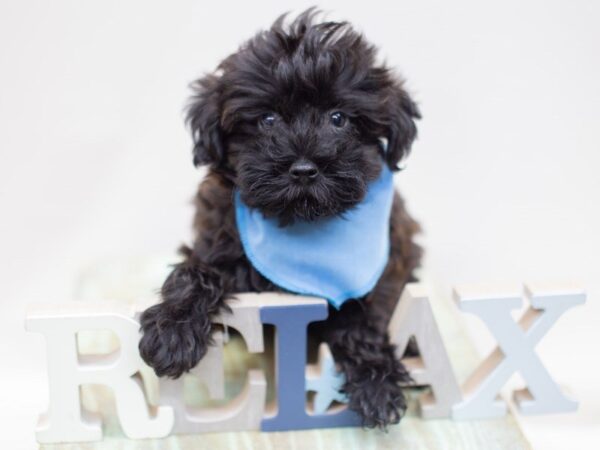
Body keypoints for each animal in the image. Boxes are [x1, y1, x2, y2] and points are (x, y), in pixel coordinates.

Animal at [140, 8, 422, 428]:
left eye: (338, 118)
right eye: (268, 120)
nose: (303, 169)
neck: (301, 222)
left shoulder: (386, 271)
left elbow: (363, 316)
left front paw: (376, 380)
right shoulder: (215, 240)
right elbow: (197, 271)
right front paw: (172, 330)